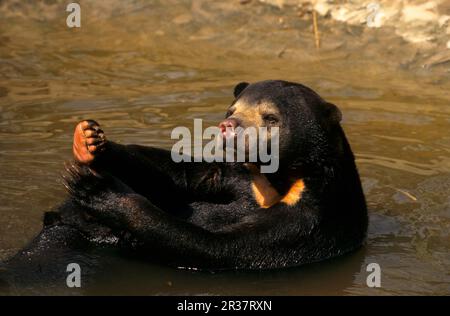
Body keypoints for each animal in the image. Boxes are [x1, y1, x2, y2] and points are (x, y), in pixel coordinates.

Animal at [1, 79, 368, 282]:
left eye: (271, 118)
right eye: (231, 110)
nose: (228, 126)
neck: (272, 179)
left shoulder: (311, 216)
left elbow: (218, 246)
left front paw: (98, 190)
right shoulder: (236, 175)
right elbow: (184, 175)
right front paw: (90, 142)